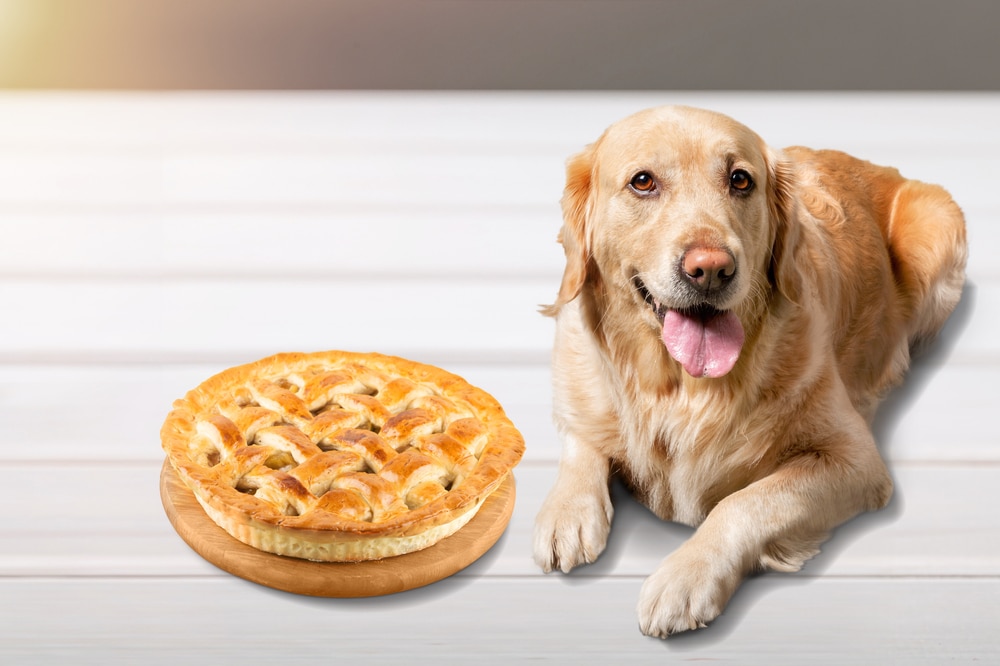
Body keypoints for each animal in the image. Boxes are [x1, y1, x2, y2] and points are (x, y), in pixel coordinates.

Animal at [536, 106, 964, 636]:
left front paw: (685, 575)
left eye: (740, 179)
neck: (682, 389)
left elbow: (744, 501)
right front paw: (566, 512)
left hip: (939, 231)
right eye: (643, 181)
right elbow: (583, 439)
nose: (711, 269)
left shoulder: (855, 460)